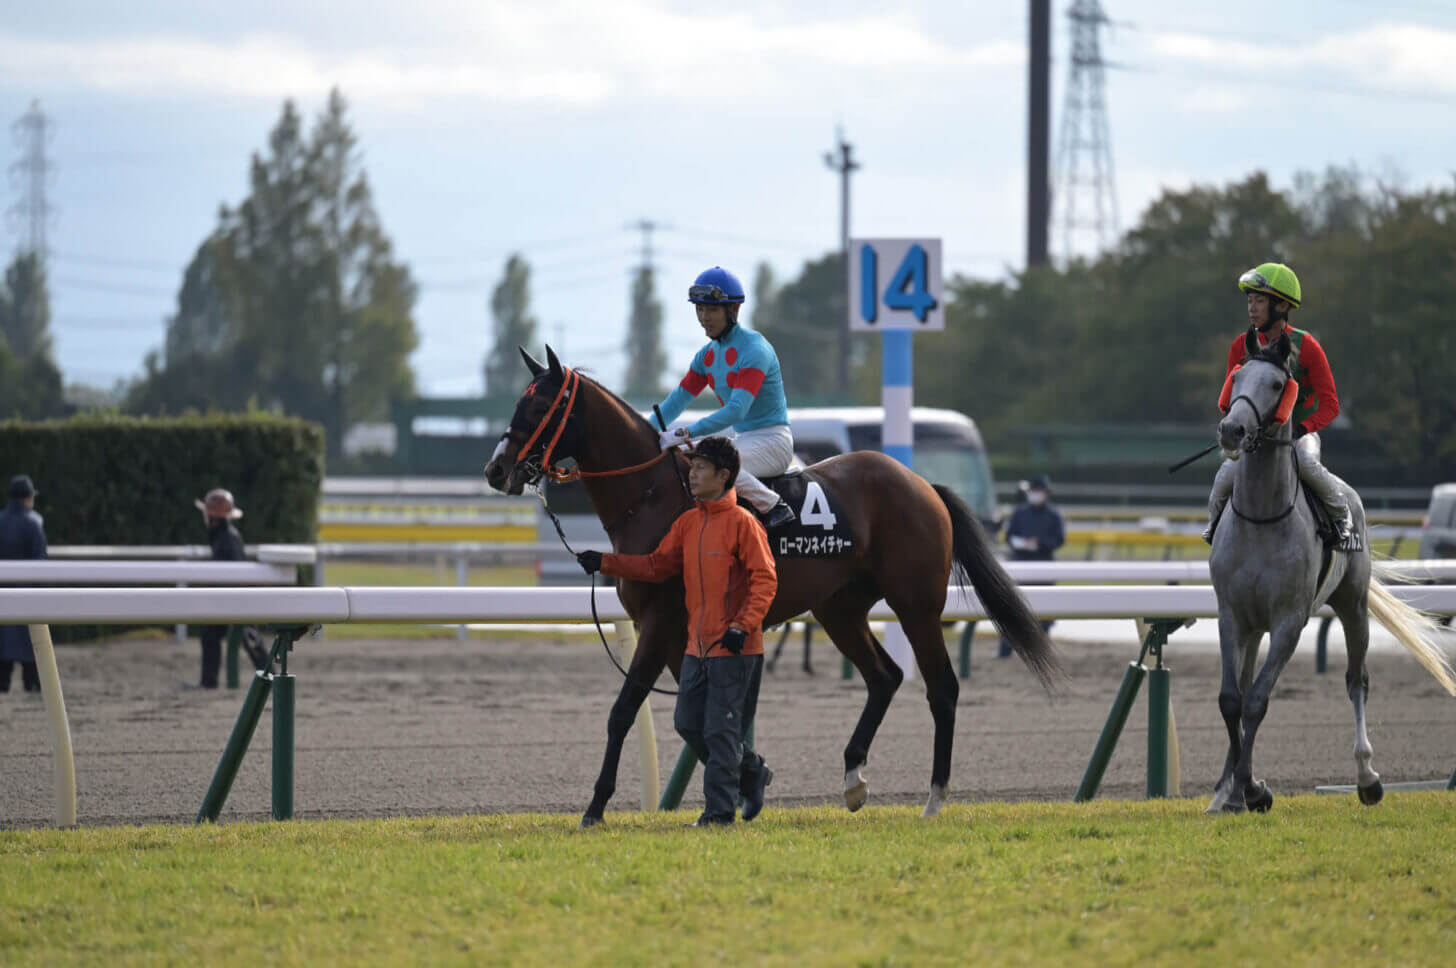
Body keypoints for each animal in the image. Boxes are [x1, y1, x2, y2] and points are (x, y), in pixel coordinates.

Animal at [483, 344, 1065, 820]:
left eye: (537, 406)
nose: (496, 470)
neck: (651, 497)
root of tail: (922, 484)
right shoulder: (681, 631)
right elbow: (698, 721)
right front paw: (751, 779)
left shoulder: (661, 622)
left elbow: (627, 710)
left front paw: (596, 806)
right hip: (840, 609)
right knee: (885, 676)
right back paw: (853, 779)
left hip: (916, 604)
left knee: (941, 686)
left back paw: (934, 797)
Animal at [1205, 328, 1456, 809]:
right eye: (1236, 376)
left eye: (1278, 384)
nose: (1232, 429)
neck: (1262, 519)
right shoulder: (1233, 615)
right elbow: (1232, 699)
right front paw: (1232, 791)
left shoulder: (1290, 621)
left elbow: (1257, 700)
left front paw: (1253, 788)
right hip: (1255, 626)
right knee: (1242, 685)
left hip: (1353, 605)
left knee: (1356, 680)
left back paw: (1367, 778)